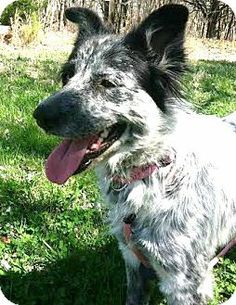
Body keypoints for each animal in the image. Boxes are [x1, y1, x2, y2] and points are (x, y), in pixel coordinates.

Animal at [33, 4, 236, 304]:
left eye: (106, 83)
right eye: (67, 76)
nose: (39, 115)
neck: (154, 169)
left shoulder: (184, 284)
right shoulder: (133, 262)